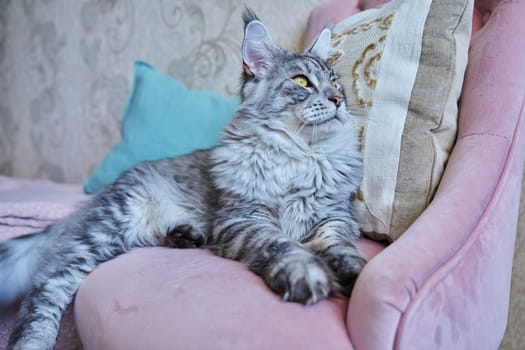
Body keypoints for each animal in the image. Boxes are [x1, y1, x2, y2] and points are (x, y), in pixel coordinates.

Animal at [0, 10, 364, 350]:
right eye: (302, 82)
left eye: (337, 84)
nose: (338, 100)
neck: (299, 157)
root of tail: (105, 192)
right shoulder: (245, 218)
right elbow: (283, 245)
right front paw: (307, 273)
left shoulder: (334, 216)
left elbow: (339, 245)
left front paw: (353, 272)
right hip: (111, 226)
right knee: (47, 284)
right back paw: (32, 341)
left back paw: (185, 235)